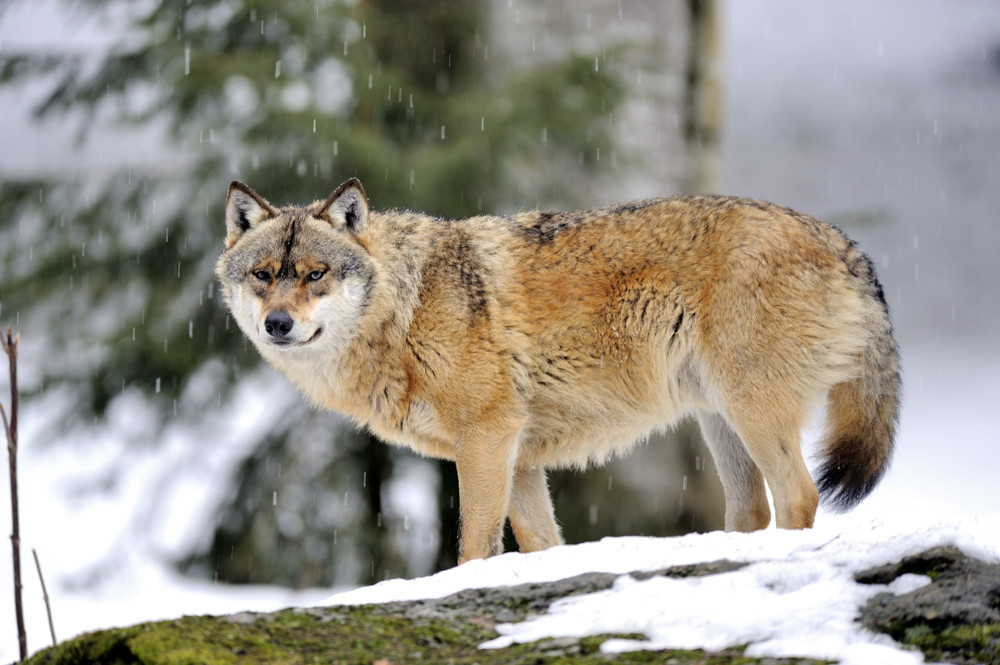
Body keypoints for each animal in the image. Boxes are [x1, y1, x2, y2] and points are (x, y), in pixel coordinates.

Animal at [215, 179, 904, 564]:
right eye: (263, 276)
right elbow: (540, 546)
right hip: (721, 424)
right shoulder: (518, 458)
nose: (279, 325)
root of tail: (845, 242)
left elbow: (474, 548)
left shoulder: (488, 440)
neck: (404, 311)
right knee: (752, 511)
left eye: (315, 274)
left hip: (752, 413)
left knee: (799, 495)